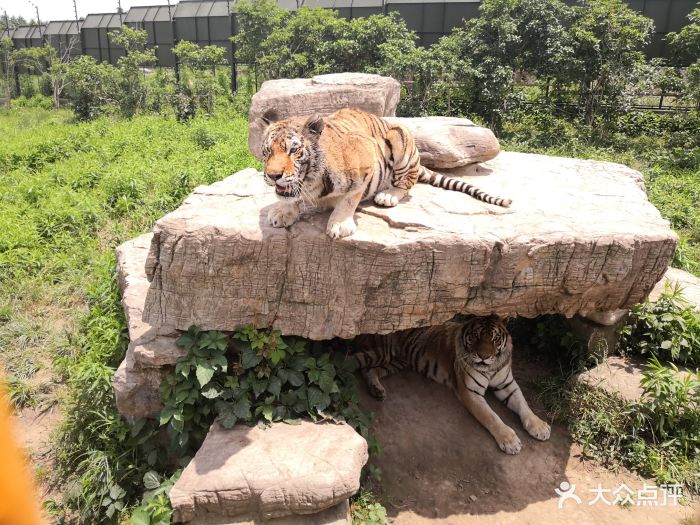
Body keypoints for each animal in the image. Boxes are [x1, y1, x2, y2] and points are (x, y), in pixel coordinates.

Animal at [258, 108, 508, 239]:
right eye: (268, 150)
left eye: (293, 150)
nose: (272, 176)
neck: (311, 181)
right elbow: (289, 197)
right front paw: (282, 212)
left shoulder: (365, 162)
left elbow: (349, 199)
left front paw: (339, 224)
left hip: (401, 137)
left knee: (408, 182)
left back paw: (388, 195)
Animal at [350, 316, 552, 454]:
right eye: (476, 337)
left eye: (494, 339)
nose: (484, 357)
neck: (491, 367)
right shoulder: (470, 392)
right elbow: (491, 416)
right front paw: (510, 440)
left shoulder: (507, 385)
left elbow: (524, 405)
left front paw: (540, 427)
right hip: (383, 353)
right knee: (356, 364)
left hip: (397, 361)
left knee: (371, 371)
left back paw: (377, 390)